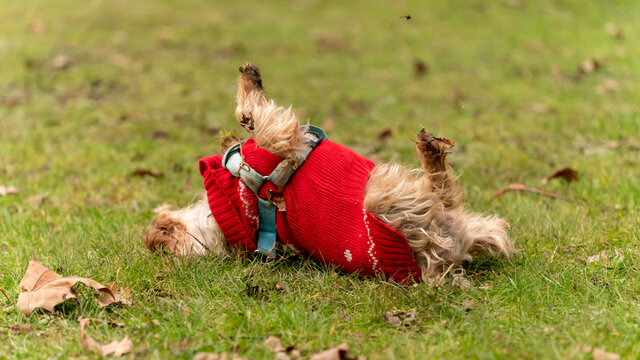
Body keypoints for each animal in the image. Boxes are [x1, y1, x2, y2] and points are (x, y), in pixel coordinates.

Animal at [145, 62, 516, 284]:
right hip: (386, 200)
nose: (152, 240)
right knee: (442, 188)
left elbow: (247, 122)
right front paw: (249, 84)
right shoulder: (279, 142)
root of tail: (440, 259)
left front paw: (229, 135)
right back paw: (430, 149)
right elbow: (257, 116)